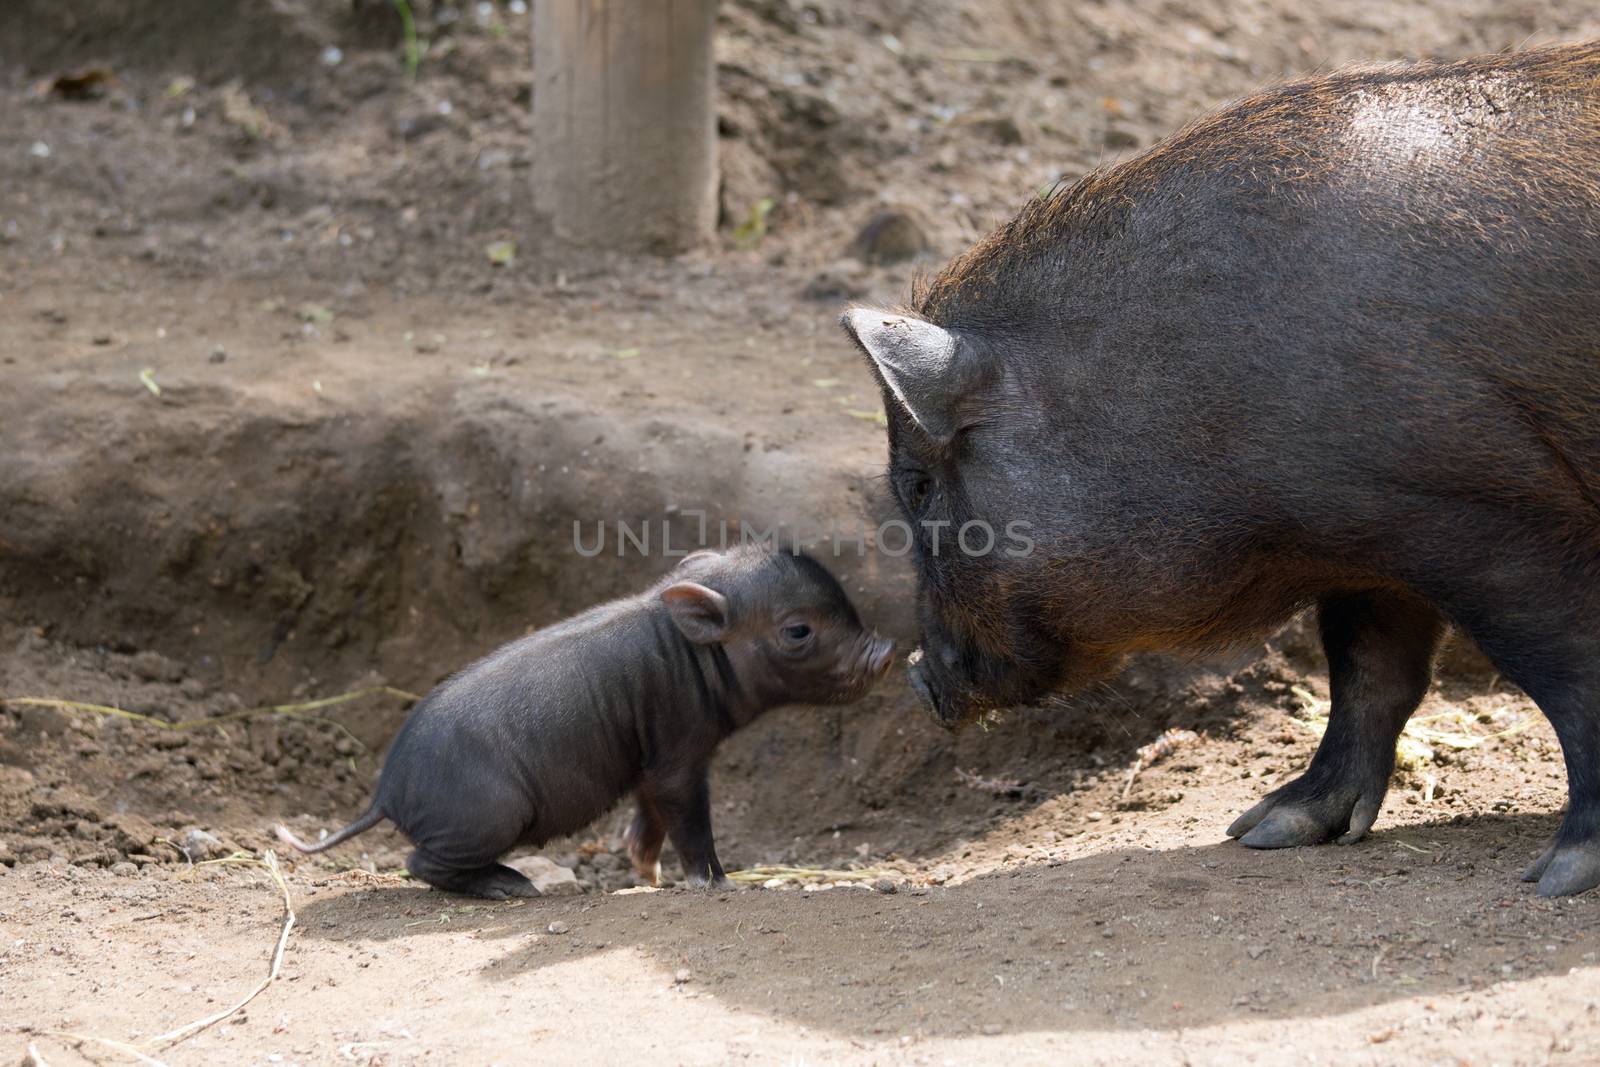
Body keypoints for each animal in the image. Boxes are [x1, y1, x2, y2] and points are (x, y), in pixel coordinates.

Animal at [838, 39, 1600, 895]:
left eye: (920, 485)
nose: (915, 675)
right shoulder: (1371, 540)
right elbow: (1368, 671)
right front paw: (1266, 830)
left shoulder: (1487, 511)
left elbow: (1567, 667)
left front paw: (1559, 874)